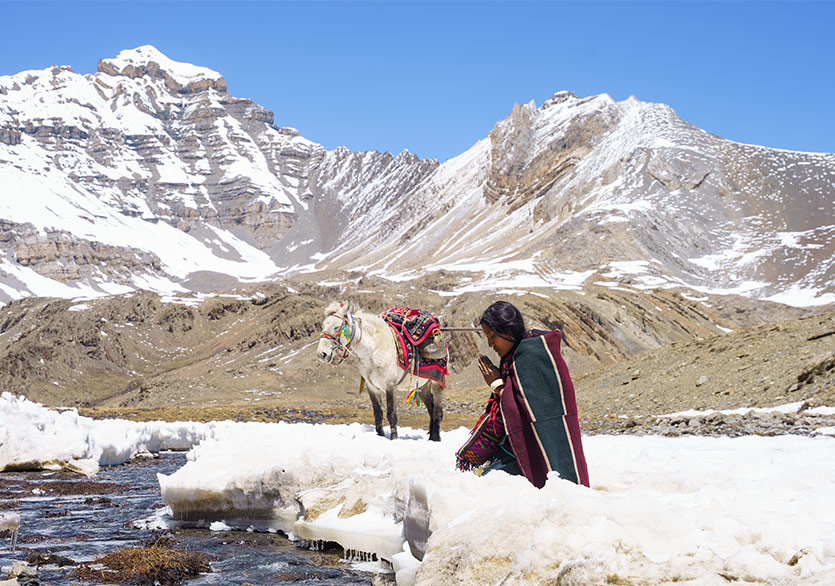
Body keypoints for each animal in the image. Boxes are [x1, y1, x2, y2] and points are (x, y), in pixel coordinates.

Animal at [316, 302, 444, 438]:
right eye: (323, 325)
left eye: (336, 327)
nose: (321, 354)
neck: (373, 349)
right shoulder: (372, 387)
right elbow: (378, 414)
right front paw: (380, 436)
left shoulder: (390, 385)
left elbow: (391, 414)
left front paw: (394, 439)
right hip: (422, 385)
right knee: (431, 408)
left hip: (437, 383)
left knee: (437, 411)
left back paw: (435, 439)